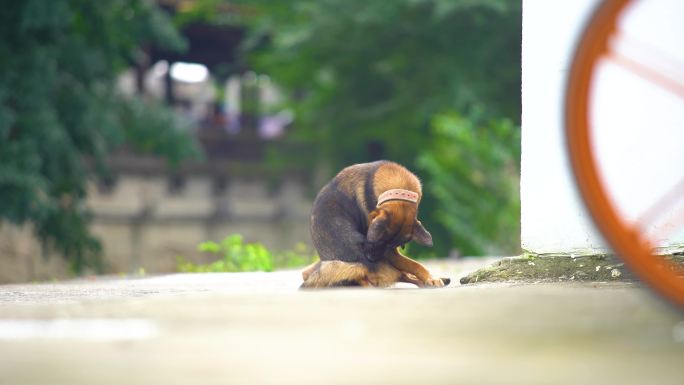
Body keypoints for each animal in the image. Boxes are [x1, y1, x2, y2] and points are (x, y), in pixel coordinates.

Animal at [302, 160, 452, 288]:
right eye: (379, 241)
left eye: (390, 244)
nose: (371, 258)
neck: (398, 187)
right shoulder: (390, 253)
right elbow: (414, 265)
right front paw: (429, 278)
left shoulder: (390, 252)